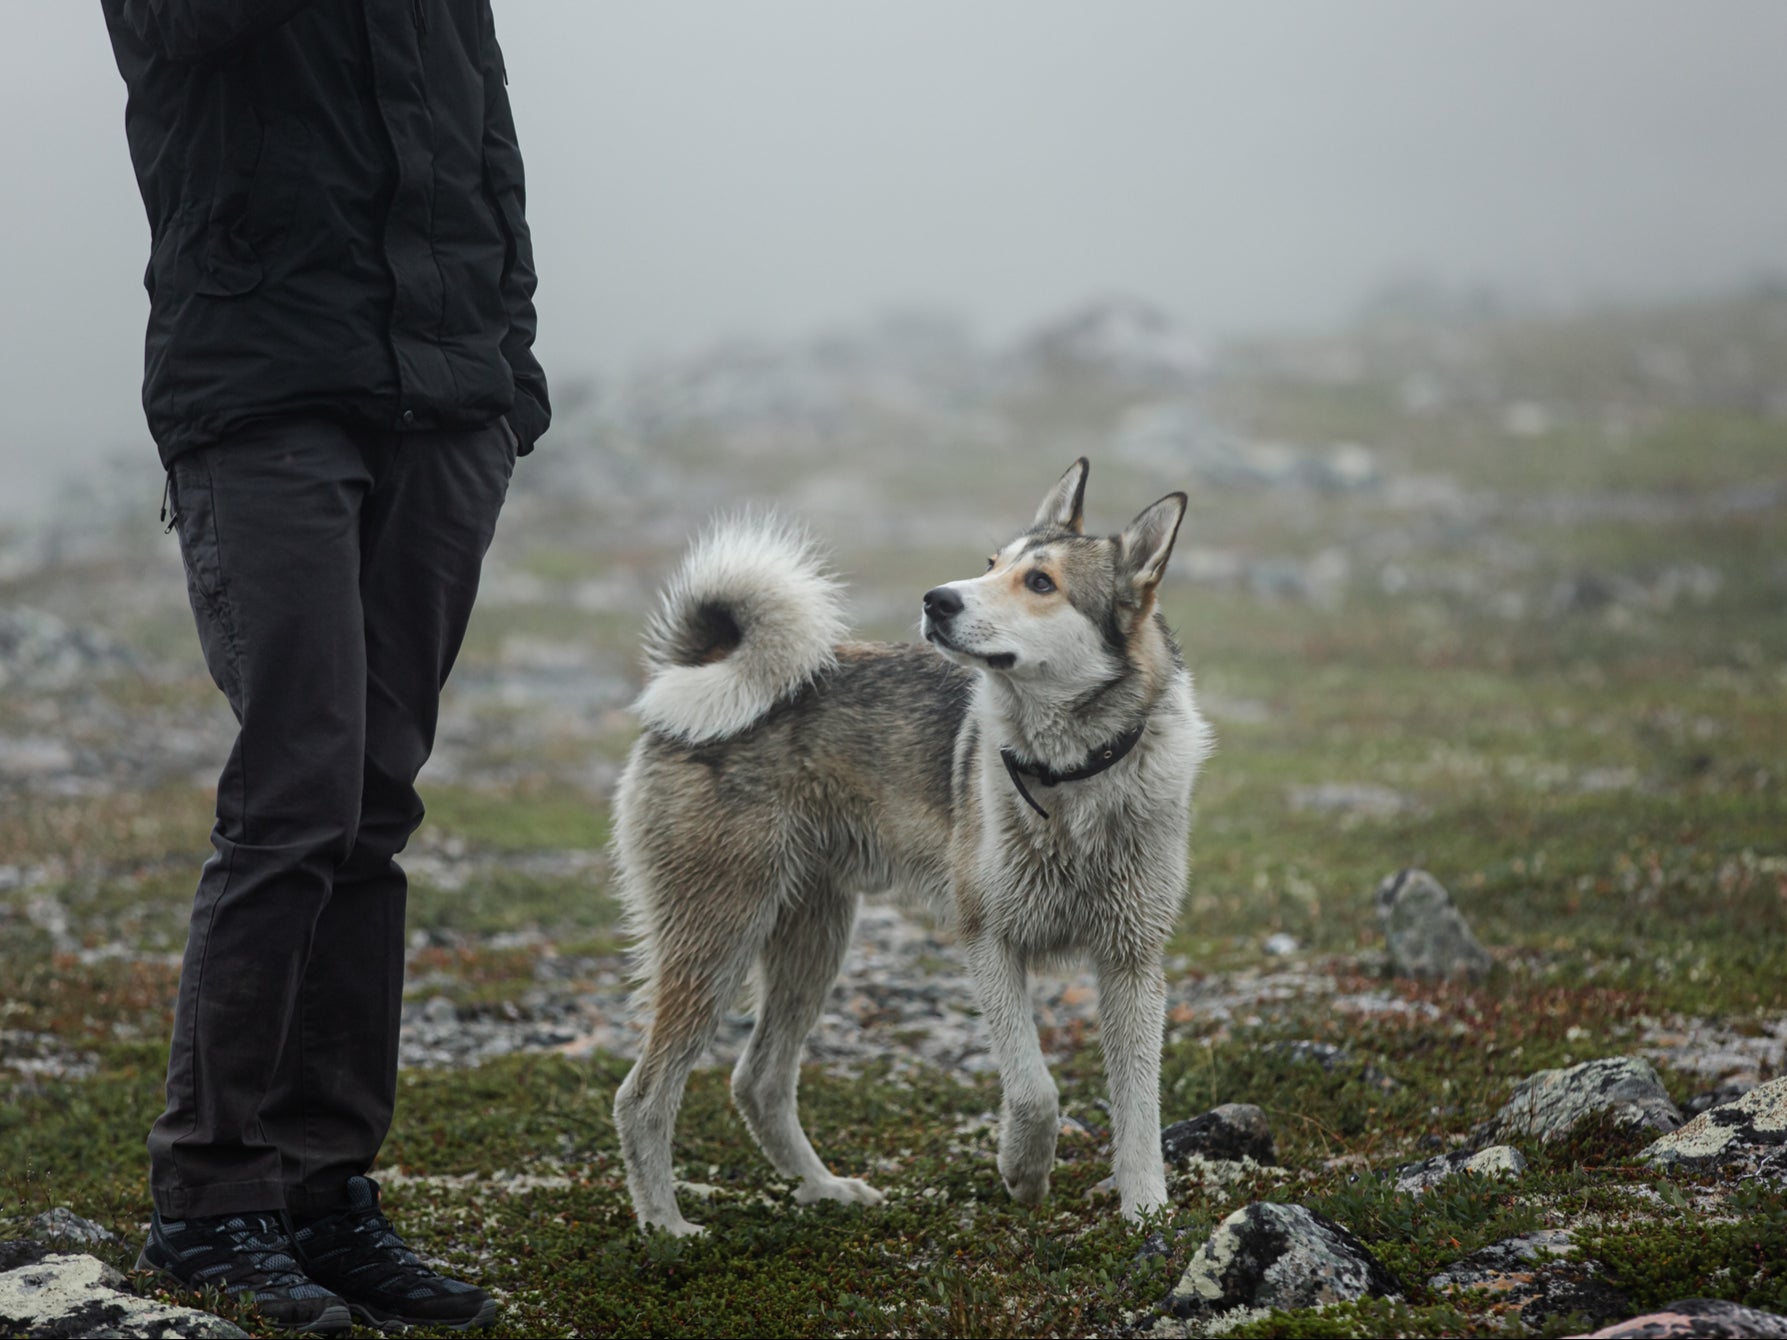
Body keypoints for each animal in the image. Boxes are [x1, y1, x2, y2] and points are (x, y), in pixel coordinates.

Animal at [614, 460, 1215, 1236]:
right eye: (990, 564)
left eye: (1040, 582)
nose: (936, 600)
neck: (1071, 776)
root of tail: (700, 671)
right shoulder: (988, 941)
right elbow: (1034, 1090)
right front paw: (1023, 1170)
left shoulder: (1133, 963)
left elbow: (1139, 1105)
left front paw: (1145, 1212)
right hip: (717, 936)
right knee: (644, 1094)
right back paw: (665, 1227)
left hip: (811, 939)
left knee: (759, 1081)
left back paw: (824, 1189)